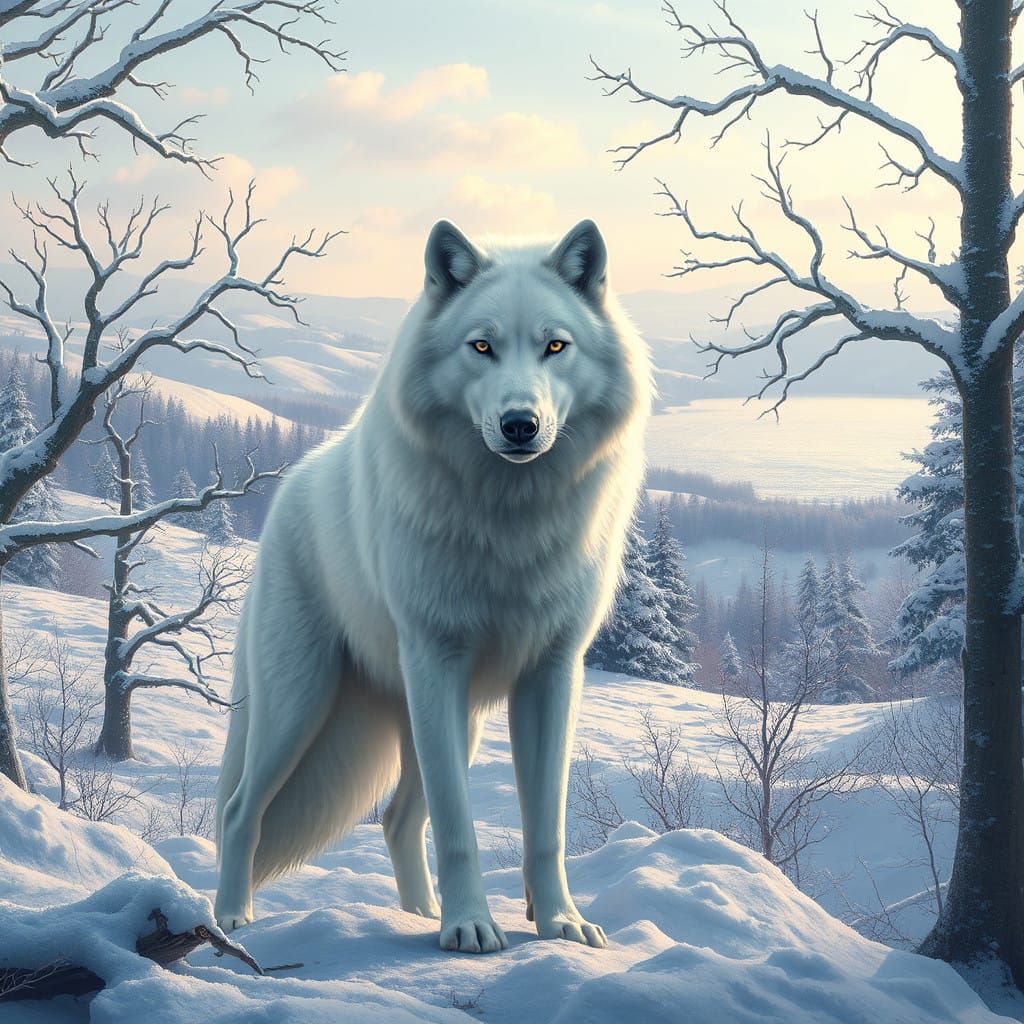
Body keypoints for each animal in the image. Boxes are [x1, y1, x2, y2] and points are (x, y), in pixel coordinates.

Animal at [214, 218, 651, 953]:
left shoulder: (553, 674)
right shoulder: (435, 663)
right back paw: (231, 920)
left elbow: (546, 828)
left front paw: (559, 921)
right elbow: (457, 826)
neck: (510, 522)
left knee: (396, 819)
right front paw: (471, 926)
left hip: (447, 721)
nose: (520, 424)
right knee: (241, 808)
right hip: (299, 708)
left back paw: (416, 916)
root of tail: (291, 486)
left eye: (555, 346)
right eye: (482, 346)